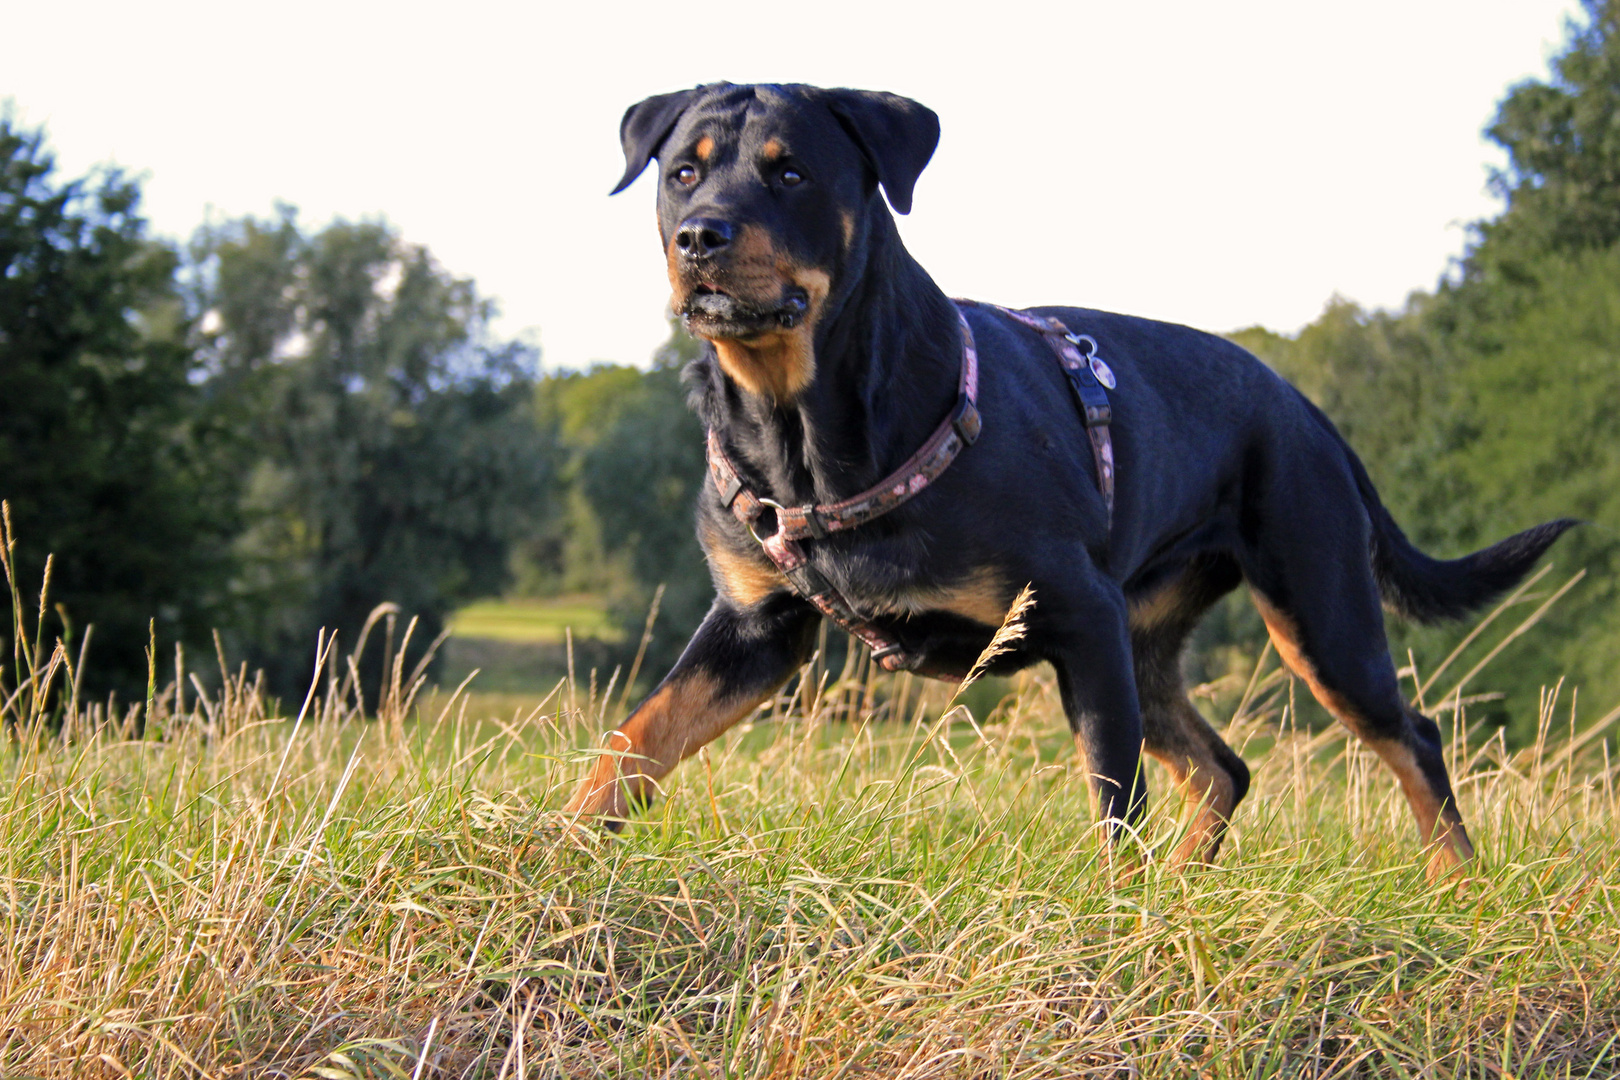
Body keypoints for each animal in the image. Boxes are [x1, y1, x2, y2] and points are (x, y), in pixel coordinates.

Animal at [567, 84, 1568, 880]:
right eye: (682, 172)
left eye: (790, 174)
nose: (700, 236)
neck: (800, 426)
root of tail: (1305, 407)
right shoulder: (756, 625)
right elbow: (636, 736)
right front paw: (557, 846)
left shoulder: (1078, 614)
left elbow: (1112, 806)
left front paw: (1115, 919)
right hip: (1149, 641)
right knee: (1225, 767)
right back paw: (1188, 884)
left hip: (1313, 612)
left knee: (1411, 738)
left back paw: (1457, 884)